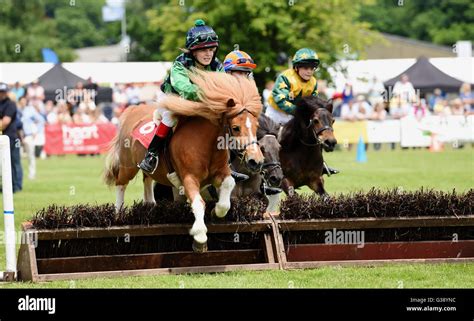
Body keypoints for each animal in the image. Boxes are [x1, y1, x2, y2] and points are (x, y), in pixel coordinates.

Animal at [103, 69, 262, 250]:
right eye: (235, 128)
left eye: (256, 126)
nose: (255, 161)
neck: (206, 144)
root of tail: (134, 109)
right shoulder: (188, 178)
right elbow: (198, 203)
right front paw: (200, 235)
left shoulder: (221, 173)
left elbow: (228, 188)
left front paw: (216, 212)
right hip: (128, 166)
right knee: (121, 183)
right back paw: (118, 214)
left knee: (147, 179)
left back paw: (150, 205)